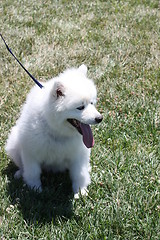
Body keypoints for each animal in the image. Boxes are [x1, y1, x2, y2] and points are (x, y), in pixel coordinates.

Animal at [5, 64, 102, 198]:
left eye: (92, 103)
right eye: (80, 107)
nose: (100, 118)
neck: (57, 131)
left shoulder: (78, 154)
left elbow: (79, 174)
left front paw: (80, 191)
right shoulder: (31, 153)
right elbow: (33, 172)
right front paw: (35, 189)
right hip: (13, 143)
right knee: (22, 166)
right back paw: (20, 173)